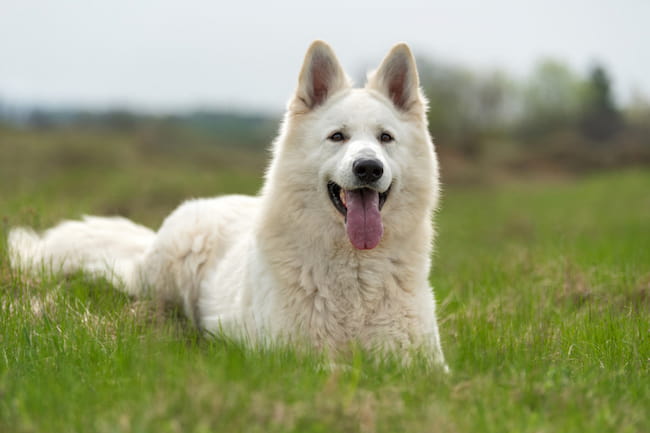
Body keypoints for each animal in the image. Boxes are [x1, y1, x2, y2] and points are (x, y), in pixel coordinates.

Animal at [8, 40, 446, 368]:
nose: (368, 168)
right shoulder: (296, 358)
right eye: (337, 137)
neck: (355, 273)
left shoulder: (424, 367)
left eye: (385, 138)